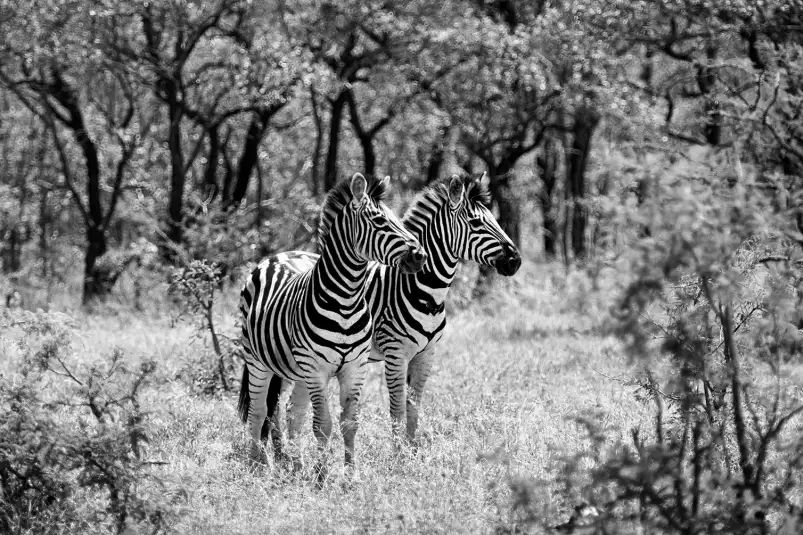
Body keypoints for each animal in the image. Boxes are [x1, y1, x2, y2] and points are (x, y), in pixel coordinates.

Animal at [237, 172, 428, 478]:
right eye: (379, 221)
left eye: (397, 219)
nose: (420, 256)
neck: (347, 300)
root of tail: (274, 257)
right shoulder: (317, 370)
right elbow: (322, 425)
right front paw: (321, 476)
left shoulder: (354, 368)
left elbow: (349, 423)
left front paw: (350, 476)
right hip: (257, 361)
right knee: (258, 411)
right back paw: (258, 465)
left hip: (297, 370)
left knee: (292, 412)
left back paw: (296, 465)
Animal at [280, 173, 524, 444]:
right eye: (476, 223)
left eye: (493, 219)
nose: (515, 261)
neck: (422, 291)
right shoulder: (396, 353)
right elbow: (397, 410)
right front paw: (399, 452)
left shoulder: (426, 354)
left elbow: (414, 408)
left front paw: (412, 449)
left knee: (292, 407)